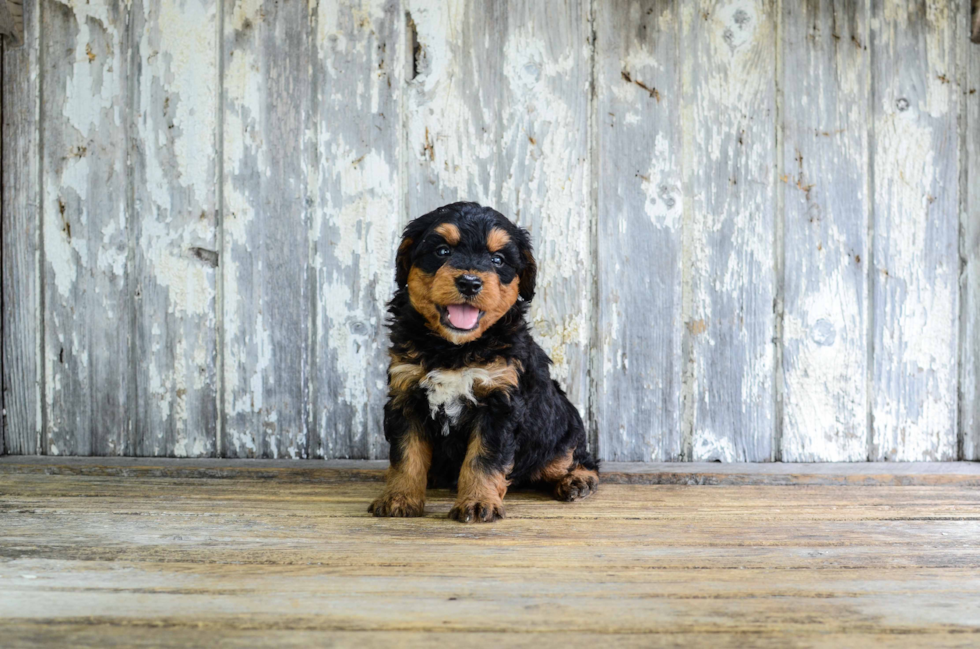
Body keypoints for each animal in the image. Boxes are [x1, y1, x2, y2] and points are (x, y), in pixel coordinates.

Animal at [368, 201, 596, 520]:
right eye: (442, 251)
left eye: (498, 259)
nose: (470, 282)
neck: (454, 349)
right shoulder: (406, 394)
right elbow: (406, 454)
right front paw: (399, 498)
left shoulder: (499, 401)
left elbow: (483, 458)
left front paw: (477, 503)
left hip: (559, 433)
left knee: (575, 459)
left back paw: (576, 480)